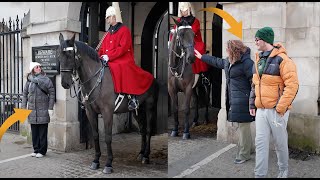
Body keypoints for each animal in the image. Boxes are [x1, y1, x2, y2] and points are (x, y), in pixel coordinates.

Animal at [57, 33, 160, 174]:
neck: (95, 80)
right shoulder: (90, 112)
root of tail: (152, 77)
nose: (65, 83)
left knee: (148, 130)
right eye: (59, 56)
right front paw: (96, 161)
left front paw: (108, 164)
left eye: (69, 55)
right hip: (136, 111)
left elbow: (107, 137)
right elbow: (95, 135)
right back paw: (141, 153)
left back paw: (146, 156)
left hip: (150, 107)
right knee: (143, 129)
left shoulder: (107, 112)